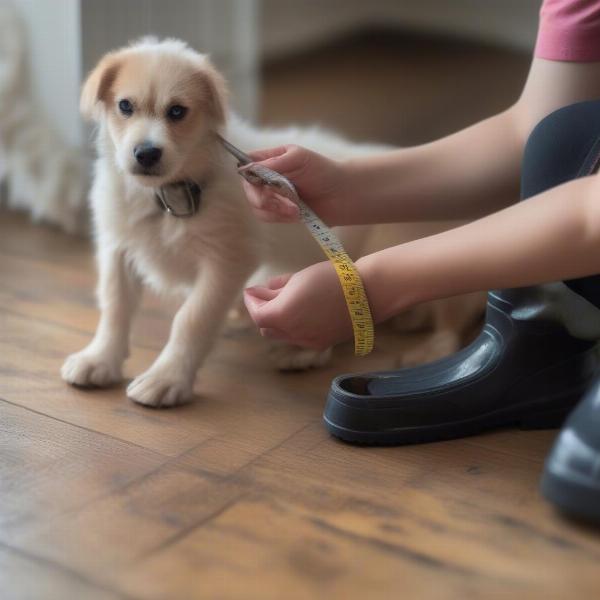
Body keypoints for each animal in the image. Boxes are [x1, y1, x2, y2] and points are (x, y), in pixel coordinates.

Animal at [61, 38, 482, 408]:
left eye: (177, 112)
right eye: (125, 106)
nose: (146, 153)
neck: (166, 195)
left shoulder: (228, 260)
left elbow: (191, 318)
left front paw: (168, 379)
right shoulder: (118, 248)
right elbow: (114, 307)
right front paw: (99, 359)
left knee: (450, 322)